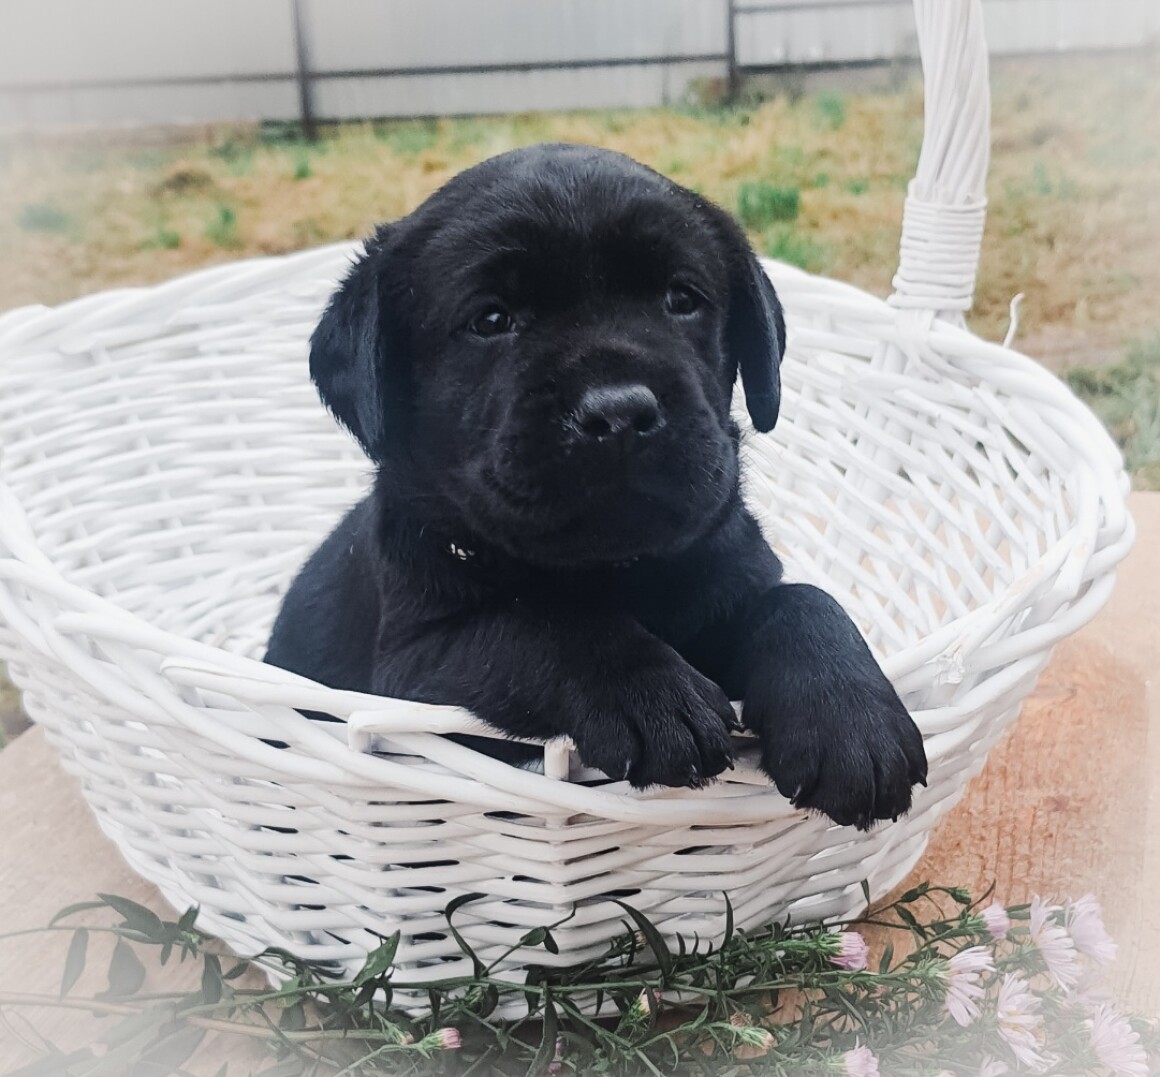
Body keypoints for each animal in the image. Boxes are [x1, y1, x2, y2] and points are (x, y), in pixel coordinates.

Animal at [265, 143, 927, 829]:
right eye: (491, 319)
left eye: (681, 298)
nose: (619, 413)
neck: (618, 569)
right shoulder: (415, 663)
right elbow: (540, 624)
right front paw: (653, 699)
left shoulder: (734, 581)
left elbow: (801, 600)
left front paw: (852, 720)